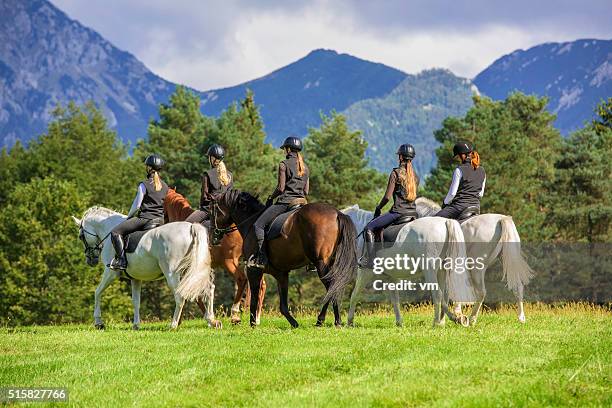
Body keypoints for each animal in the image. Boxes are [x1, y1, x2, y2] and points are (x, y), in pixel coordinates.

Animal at [72, 207, 220, 328]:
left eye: (81, 236)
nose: (90, 260)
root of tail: (190, 227)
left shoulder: (111, 272)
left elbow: (97, 292)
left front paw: (99, 323)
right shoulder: (136, 278)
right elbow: (136, 301)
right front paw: (136, 325)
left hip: (172, 273)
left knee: (180, 296)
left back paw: (173, 325)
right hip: (193, 271)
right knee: (209, 289)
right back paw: (211, 321)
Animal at [163, 188, 266, 326]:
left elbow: (193, 293)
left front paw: (208, 318)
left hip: (229, 262)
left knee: (241, 279)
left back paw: (235, 314)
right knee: (261, 284)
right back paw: (256, 317)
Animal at [210, 189, 356, 328]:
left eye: (212, 210)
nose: (213, 234)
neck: (250, 222)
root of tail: (337, 213)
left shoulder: (254, 270)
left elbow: (254, 298)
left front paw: (252, 324)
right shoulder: (281, 273)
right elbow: (283, 306)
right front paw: (294, 323)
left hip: (320, 263)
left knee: (331, 286)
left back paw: (328, 320)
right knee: (333, 286)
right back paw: (329, 320)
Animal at [342, 206, 476, 326]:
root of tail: (444, 222)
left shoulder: (365, 273)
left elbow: (354, 295)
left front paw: (350, 321)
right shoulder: (390, 278)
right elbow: (395, 300)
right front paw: (399, 322)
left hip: (430, 270)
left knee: (437, 294)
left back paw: (440, 322)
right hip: (441, 271)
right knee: (444, 295)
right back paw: (444, 321)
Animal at [414, 198, 532, 326]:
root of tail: (502, 218)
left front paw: (450, 317)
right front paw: (451, 316)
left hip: (476, 268)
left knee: (481, 293)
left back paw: (472, 319)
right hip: (509, 261)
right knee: (518, 287)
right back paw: (521, 318)